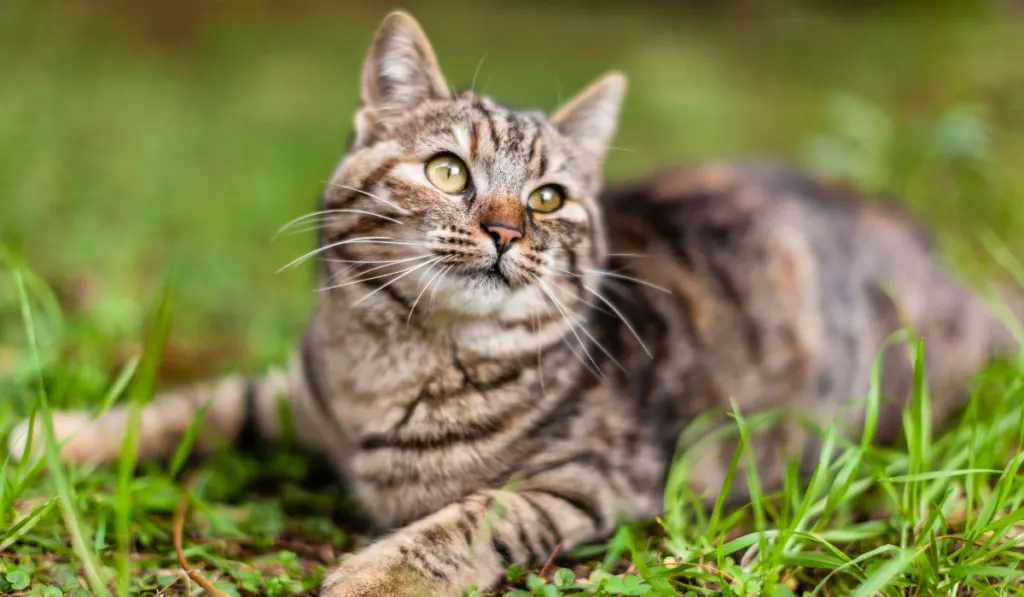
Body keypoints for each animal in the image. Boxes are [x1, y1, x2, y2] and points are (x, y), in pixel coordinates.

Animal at [9, 9, 1024, 597]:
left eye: (547, 198)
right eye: (448, 170)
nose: (504, 230)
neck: (395, 364)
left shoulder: (591, 479)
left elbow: (472, 515)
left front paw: (375, 571)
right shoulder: (290, 395)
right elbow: (190, 406)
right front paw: (52, 438)